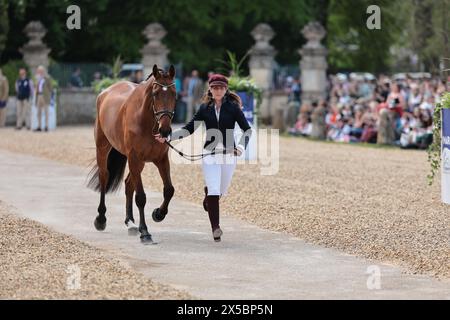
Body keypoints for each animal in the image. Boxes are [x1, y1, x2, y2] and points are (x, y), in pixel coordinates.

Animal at [87, 65, 176, 244]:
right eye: (155, 94)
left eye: (174, 94)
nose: (165, 130)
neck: (147, 121)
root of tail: (105, 92)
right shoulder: (134, 158)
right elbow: (141, 197)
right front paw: (145, 232)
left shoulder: (161, 159)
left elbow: (169, 190)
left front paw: (158, 214)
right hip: (103, 148)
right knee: (104, 176)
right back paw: (101, 219)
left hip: (139, 163)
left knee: (129, 183)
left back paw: (130, 222)